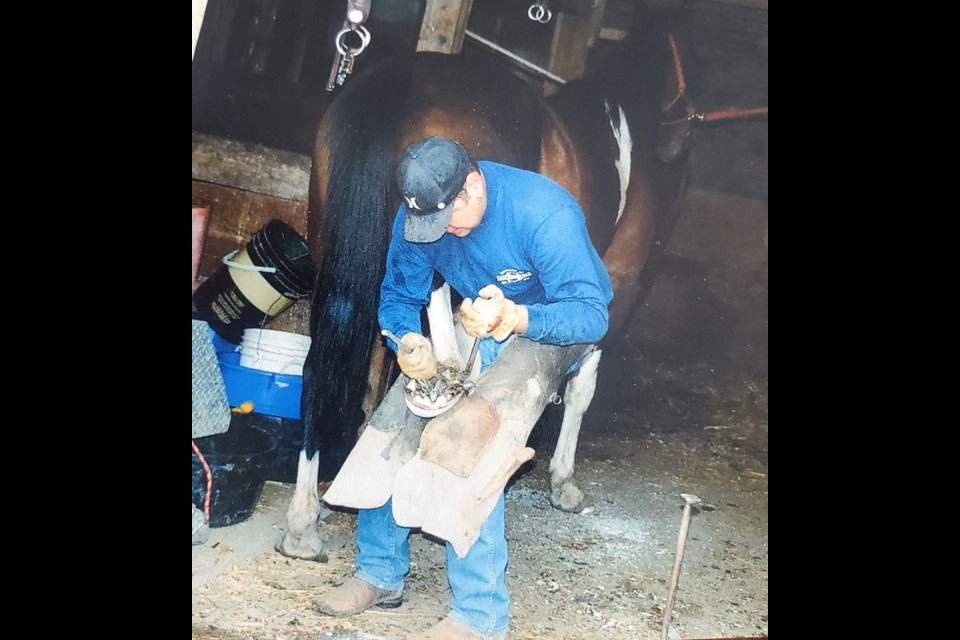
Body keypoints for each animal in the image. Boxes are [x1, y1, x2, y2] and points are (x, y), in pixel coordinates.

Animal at [276, 10, 688, 560]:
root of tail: (400, 84)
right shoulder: (615, 285)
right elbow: (583, 389)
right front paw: (564, 483)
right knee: (434, 309)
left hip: (332, 245)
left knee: (325, 363)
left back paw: (304, 521)